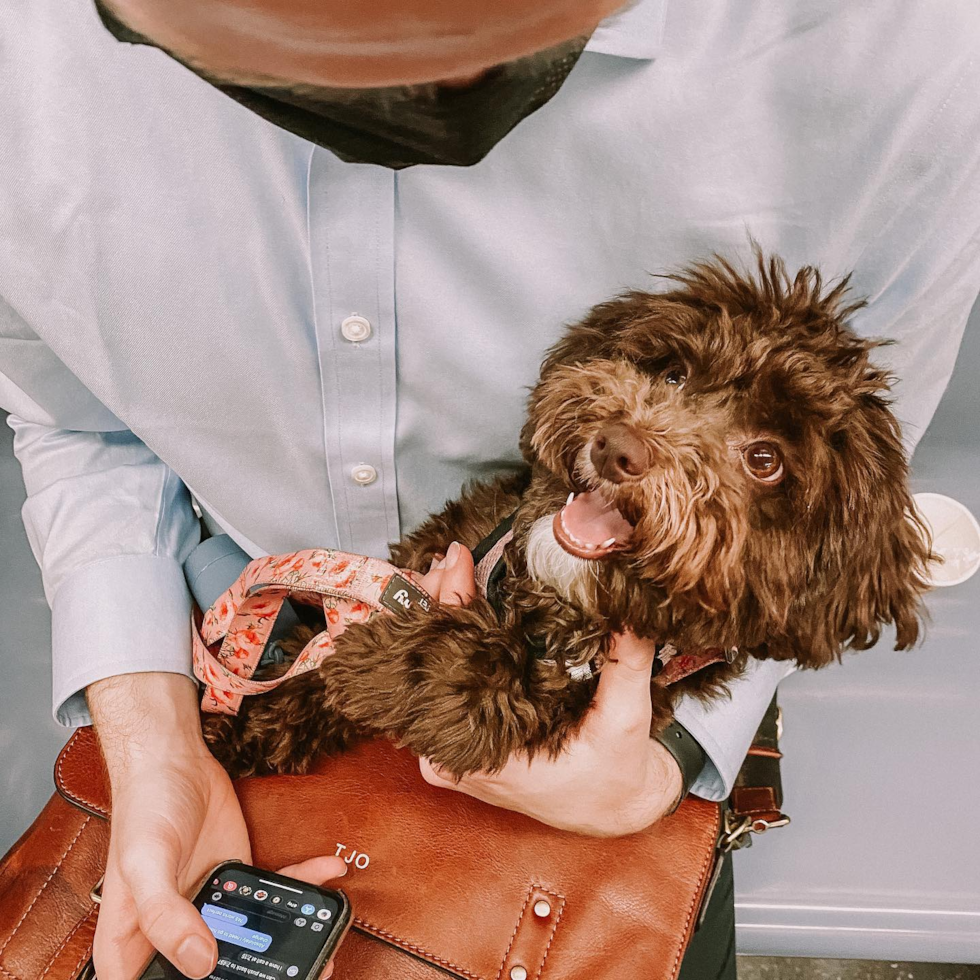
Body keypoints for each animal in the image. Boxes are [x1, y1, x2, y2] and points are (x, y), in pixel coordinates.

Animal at [205, 256, 936, 776]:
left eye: (765, 459)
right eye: (673, 373)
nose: (618, 446)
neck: (554, 602)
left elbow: (483, 681)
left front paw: (392, 661)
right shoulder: (450, 540)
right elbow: (324, 641)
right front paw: (247, 717)